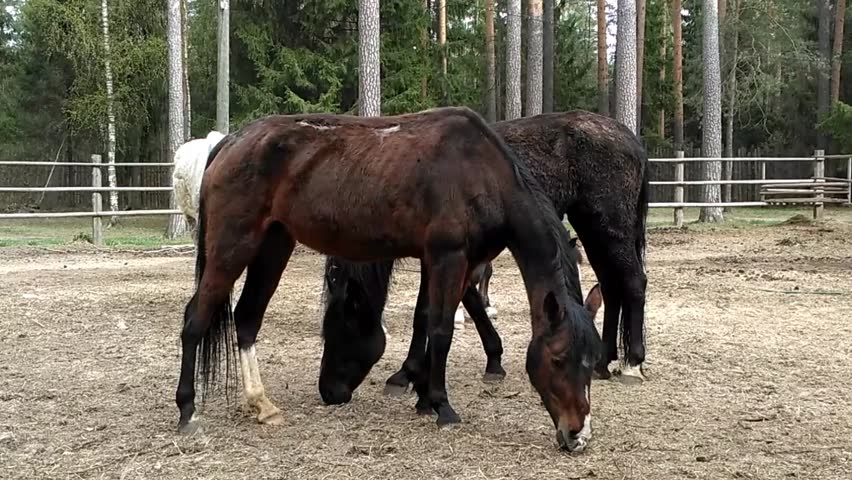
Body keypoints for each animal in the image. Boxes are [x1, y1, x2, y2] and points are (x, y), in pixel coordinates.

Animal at [176, 107, 603, 452]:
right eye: (559, 359)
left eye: (593, 360)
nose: (577, 435)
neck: (480, 171)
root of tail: (230, 142)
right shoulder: (448, 258)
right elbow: (442, 329)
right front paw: (442, 406)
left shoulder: (448, 262)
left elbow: (427, 320)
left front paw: (423, 396)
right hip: (232, 247)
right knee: (196, 319)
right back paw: (188, 412)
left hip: (273, 246)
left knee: (247, 319)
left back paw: (262, 405)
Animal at [316, 110, 648, 402]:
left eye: (340, 326)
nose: (328, 391)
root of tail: (631, 140)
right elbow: (464, 303)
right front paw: (492, 359)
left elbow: (427, 312)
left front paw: (406, 374)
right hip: (592, 227)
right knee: (611, 286)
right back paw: (603, 360)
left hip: (610, 226)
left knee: (633, 282)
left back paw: (632, 363)